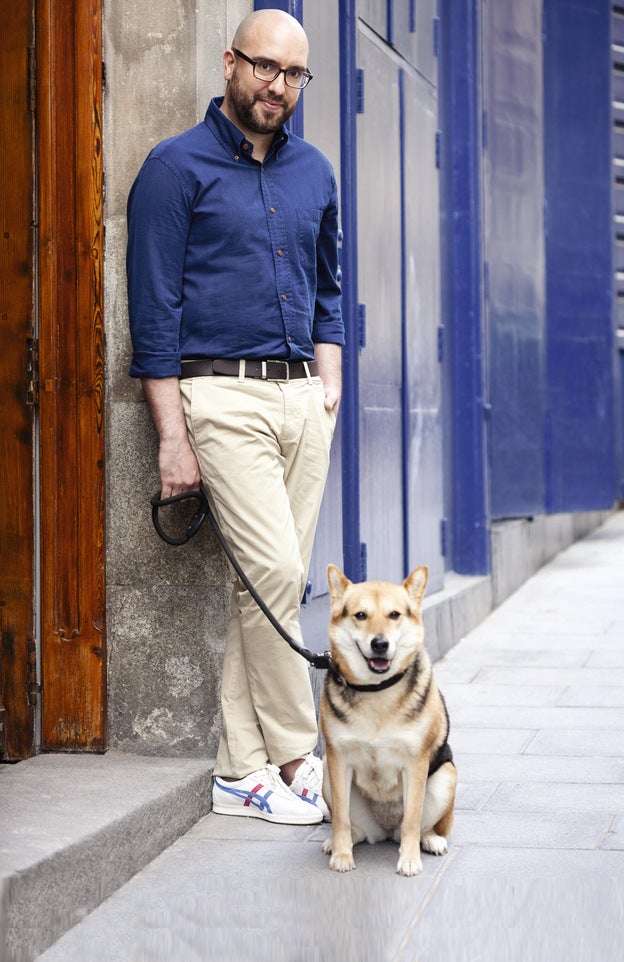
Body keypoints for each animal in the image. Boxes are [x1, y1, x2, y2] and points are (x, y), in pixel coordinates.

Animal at [320, 564, 456, 876]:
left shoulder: (415, 764)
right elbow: (341, 818)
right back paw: (342, 841)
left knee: (421, 826)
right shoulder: (338, 760)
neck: (376, 690)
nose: (380, 644)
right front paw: (342, 855)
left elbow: (412, 819)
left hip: (446, 776)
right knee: (353, 826)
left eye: (394, 614)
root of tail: (384, 831)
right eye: (360, 615)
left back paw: (430, 840)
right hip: (325, 773)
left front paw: (409, 860)